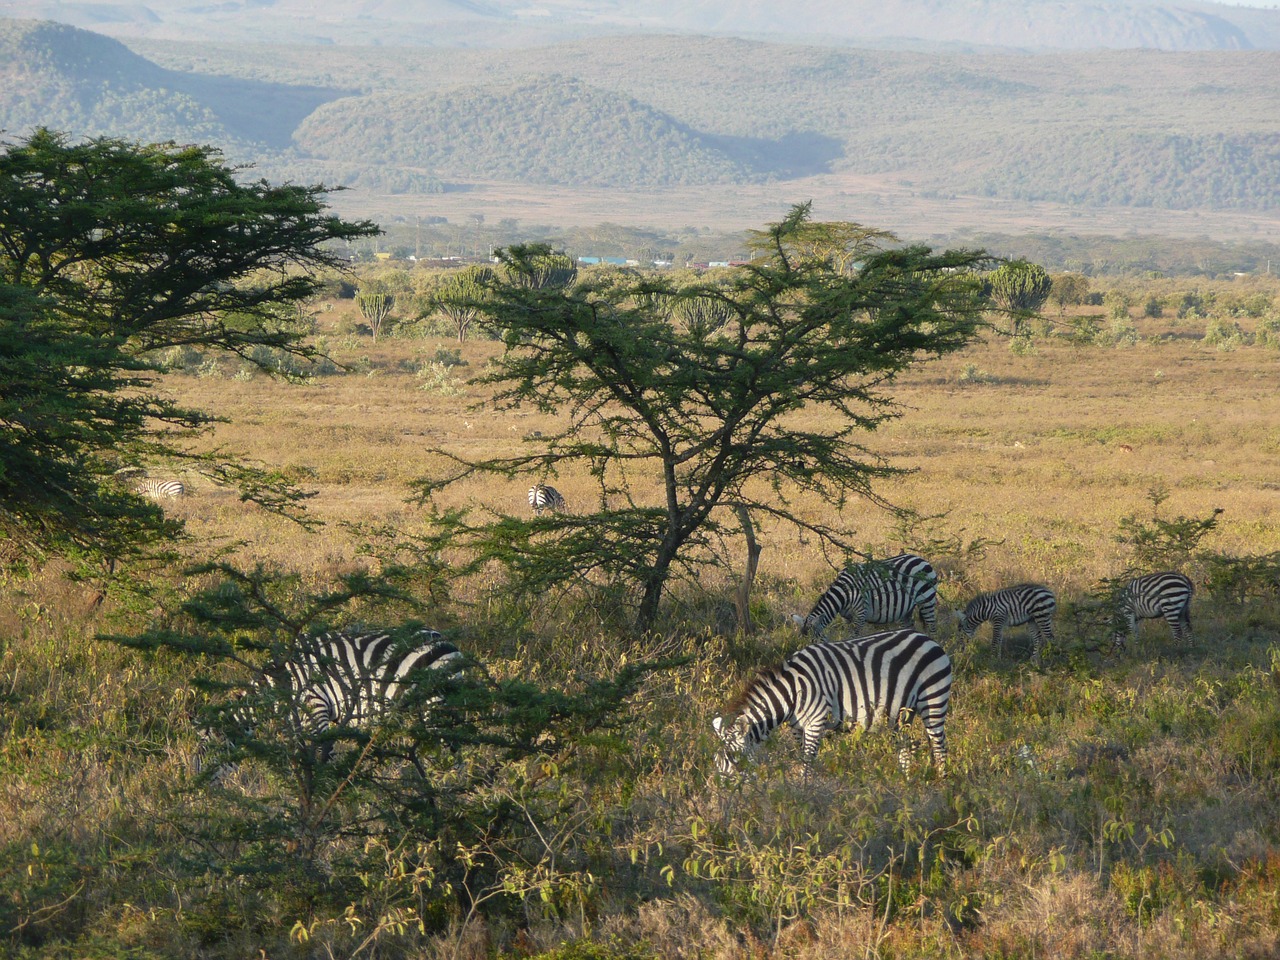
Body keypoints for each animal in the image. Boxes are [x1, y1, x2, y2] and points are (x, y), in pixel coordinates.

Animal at [711, 632, 952, 783]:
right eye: (717, 763)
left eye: (734, 760)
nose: (720, 801)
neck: (792, 694)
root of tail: (929, 639)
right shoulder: (797, 727)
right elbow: (801, 758)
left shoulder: (816, 721)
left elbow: (807, 762)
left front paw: (804, 794)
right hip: (903, 714)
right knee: (906, 747)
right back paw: (905, 783)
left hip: (933, 700)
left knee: (939, 748)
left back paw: (941, 785)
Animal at [798, 555, 942, 640]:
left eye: (814, 641)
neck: (844, 593)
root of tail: (921, 559)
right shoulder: (846, 618)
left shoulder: (860, 613)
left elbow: (855, 637)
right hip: (907, 608)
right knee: (909, 625)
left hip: (927, 600)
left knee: (932, 627)